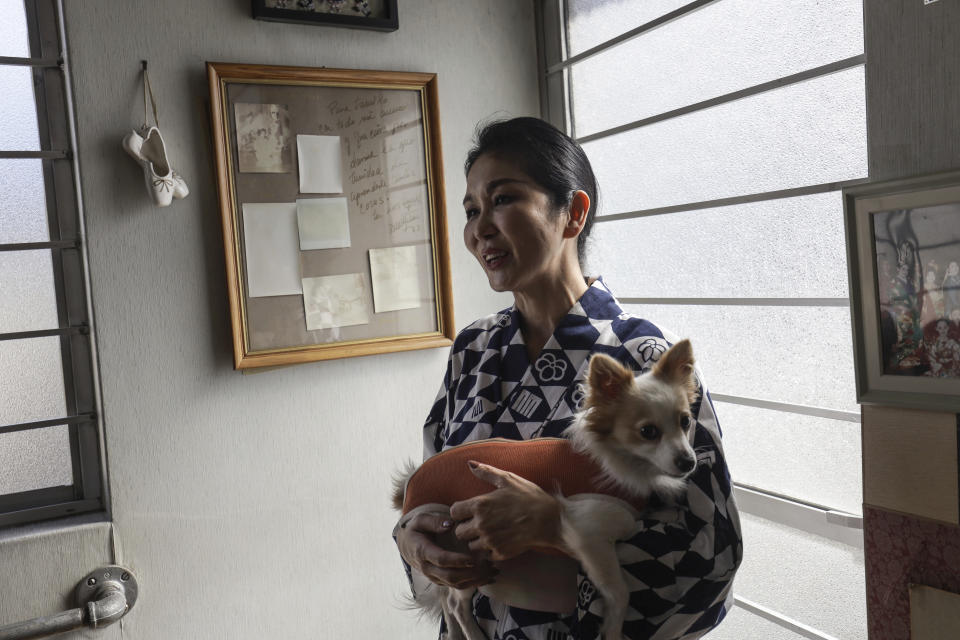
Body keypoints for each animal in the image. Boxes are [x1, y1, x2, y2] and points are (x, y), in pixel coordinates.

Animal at [392, 340, 696, 640]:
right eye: (648, 431)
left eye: (685, 422)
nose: (689, 462)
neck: (617, 463)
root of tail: (410, 485)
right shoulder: (589, 536)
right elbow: (620, 592)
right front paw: (612, 628)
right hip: (462, 553)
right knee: (455, 602)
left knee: (447, 601)